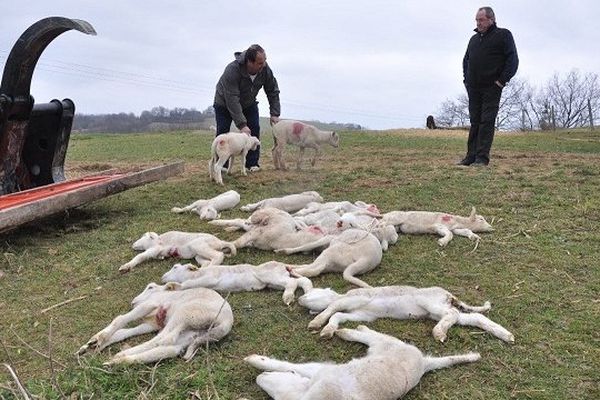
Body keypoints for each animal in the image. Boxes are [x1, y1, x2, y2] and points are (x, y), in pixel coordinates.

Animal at [75, 282, 234, 364]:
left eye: (150, 287)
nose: (133, 302)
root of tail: (226, 322)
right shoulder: (153, 323)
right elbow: (123, 332)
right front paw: (91, 346)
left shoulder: (152, 304)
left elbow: (120, 319)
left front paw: (98, 339)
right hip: (193, 333)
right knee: (169, 349)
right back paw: (120, 361)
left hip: (186, 314)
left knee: (162, 340)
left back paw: (121, 355)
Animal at [162, 260, 316, 304]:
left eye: (175, 267)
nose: (163, 277)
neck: (196, 274)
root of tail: (282, 264)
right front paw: (170, 286)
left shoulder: (210, 278)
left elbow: (189, 284)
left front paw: (174, 285)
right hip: (274, 281)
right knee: (301, 280)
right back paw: (308, 293)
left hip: (270, 276)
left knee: (292, 283)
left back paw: (288, 297)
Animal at [246, 324, 480, 400]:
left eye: (277, 395)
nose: (261, 378)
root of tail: (424, 362)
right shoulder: (322, 371)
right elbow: (291, 366)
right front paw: (257, 361)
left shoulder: (324, 373)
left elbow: (293, 367)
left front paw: (256, 362)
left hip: (390, 345)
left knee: (376, 336)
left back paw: (352, 330)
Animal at [298, 284, 512, 340]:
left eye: (310, 294)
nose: (300, 300)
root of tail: (447, 293)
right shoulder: (363, 315)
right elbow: (338, 315)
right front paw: (327, 331)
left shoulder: (357, 299)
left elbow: (332, 308)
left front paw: (316, 323)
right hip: (436, 311)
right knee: (471, 316)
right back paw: (506, 335)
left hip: (431, 304)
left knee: (453, 314)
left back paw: (438, 333)